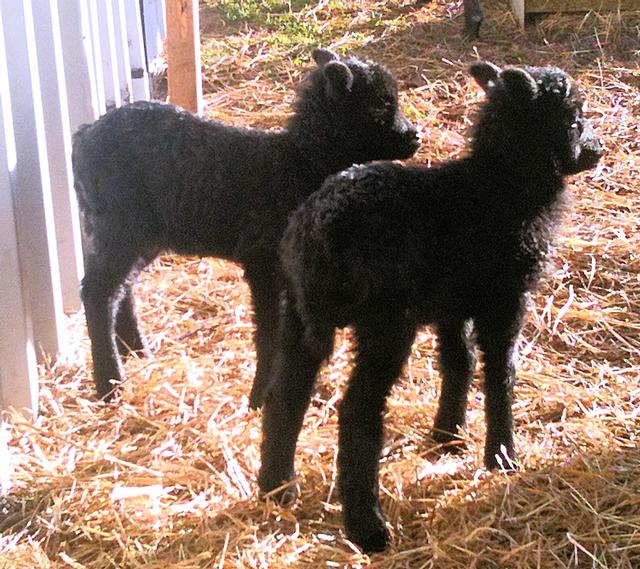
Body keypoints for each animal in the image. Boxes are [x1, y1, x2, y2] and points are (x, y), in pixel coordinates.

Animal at [72, 48, 420, 403]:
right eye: (380, 103)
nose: (415, 136)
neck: (297, 164)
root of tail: (83, 136)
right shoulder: (262, 262)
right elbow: (269, 331)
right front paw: (260, 395)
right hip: (119, 225)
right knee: (98, 292)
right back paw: (110, 384)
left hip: (139, 233)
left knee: (122, 288)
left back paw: (138, 353)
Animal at [258, 62, 602, 552]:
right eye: (574, 115)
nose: (596, 150)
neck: (501, 185)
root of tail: (319, 232)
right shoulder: (505, 298)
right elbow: (501, 372)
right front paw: (502, 456)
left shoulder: (451, 302)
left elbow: (459, 361)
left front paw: (447, 436)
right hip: (386, 322)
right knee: (358, 408)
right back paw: (368, 527)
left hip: (298, 312)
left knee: (286, 391)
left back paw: (277, 486)